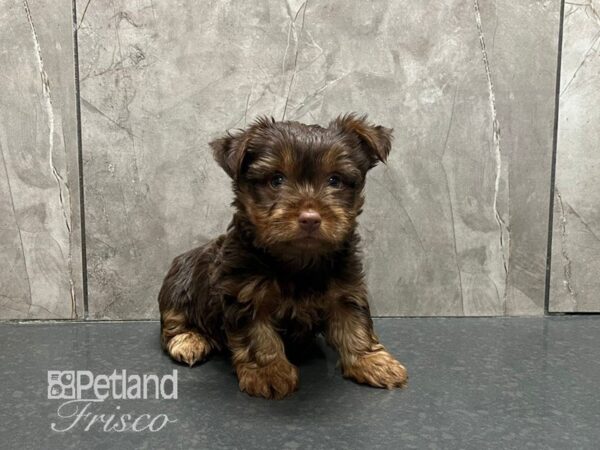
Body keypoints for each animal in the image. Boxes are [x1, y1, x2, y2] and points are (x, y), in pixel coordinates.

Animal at [158, 114, 408, 400]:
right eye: (276, 180)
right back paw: (189, 340)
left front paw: (371, 361)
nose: (310, 218)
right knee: (174, 321)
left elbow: (354, 323)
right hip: (178, 289)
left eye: (334, 180)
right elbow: (258, 335)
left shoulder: (345, 288)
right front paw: (268, 372)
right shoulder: (245, 292)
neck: (298, 260)